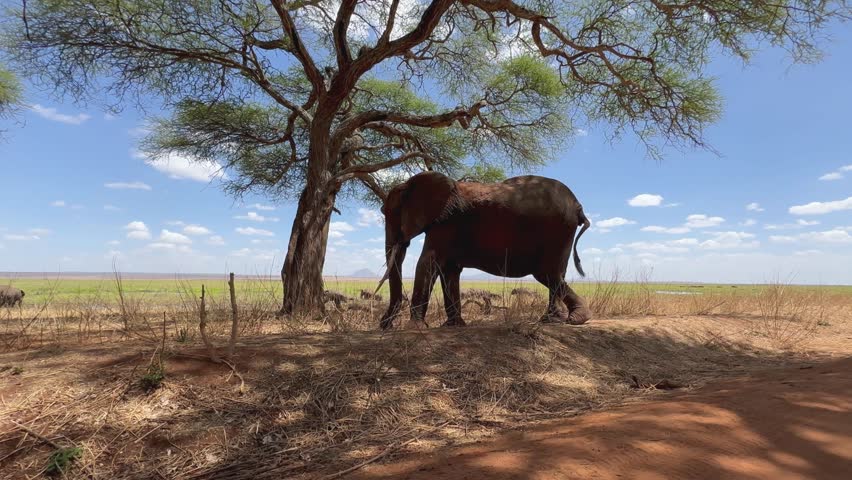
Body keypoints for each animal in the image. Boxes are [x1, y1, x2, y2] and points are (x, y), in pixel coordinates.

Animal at [376, 171, 592, 330]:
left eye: (391, 213)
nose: (385, 325)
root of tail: (578, 207)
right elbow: (450, 271)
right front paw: (453, 326)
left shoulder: (445, 221)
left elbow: (428, 262)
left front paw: (415, 328)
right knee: (556, 274)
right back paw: (551, 320)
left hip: (558, 230)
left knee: (547, 273)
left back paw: (575, 318)